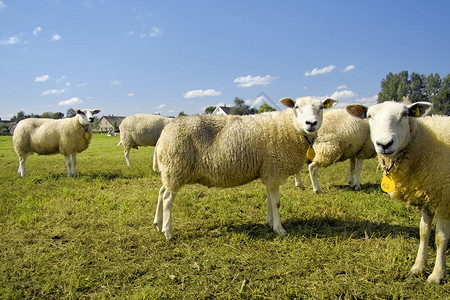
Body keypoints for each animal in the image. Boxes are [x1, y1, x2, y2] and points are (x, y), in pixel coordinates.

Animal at [152, 96, 338, 239]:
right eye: (296, 107)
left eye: (321, 107)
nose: (311, 123)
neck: (289, 128)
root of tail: (164, 133)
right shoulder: (274, 169)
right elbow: (276, 202)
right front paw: (279, 229)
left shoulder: (268, 172)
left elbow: (269, 200)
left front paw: (269, 223)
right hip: (176, 167)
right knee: (168, 199)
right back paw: (168, 232)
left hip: (169, 170)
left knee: (161, 191)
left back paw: (158, 223)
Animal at [346, 101, 448, 284]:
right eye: (369, 116)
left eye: (405, 114)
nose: (384, 144)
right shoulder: (427, 196)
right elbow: (423, 232)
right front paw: (418, 267)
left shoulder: (442, 197)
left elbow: (440, 238)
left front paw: (437, 275)